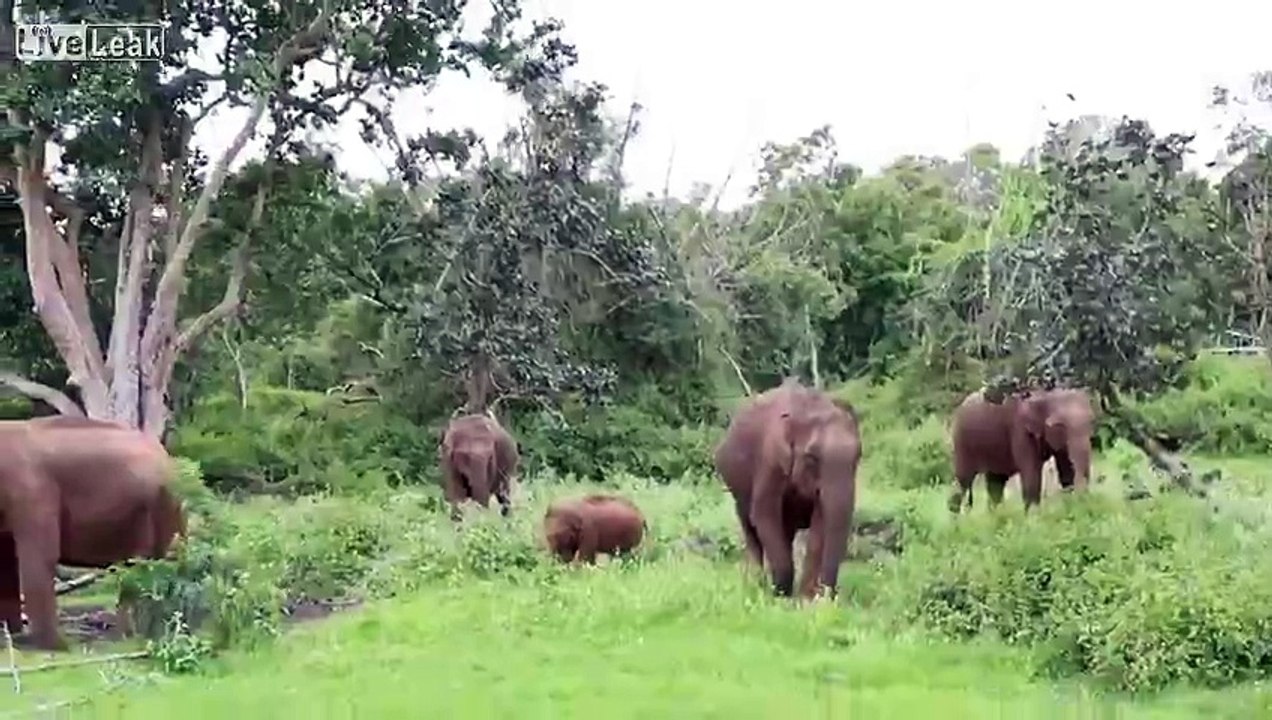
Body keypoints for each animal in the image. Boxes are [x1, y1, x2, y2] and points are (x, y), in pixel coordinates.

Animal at [0, 416, 187, 651]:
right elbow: (6, 560)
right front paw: (13, 638)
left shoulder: (33, 492)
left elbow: (41, 557)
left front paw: (54, 647)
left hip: (158, 507)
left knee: (146, 566)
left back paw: (131, 636)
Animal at [713, 379, 861, 599]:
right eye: (811, 458)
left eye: (858, 456)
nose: (828, 594)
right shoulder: (769, 462)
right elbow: (764, 515)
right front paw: (781, 594)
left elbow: (820, 523)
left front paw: (805, 598)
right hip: (736, 487)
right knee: (750, 527)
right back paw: (757, 583)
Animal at [948, 387, 1096, 513]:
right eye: (1060, 425)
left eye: (1090, 422)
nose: (1085, 499)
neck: (1047, 395)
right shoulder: (1020, 432)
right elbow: (1031, 474)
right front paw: (1033, 519)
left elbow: (1066, 472)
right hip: (963, 442)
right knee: (963, 480)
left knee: (995, 483)